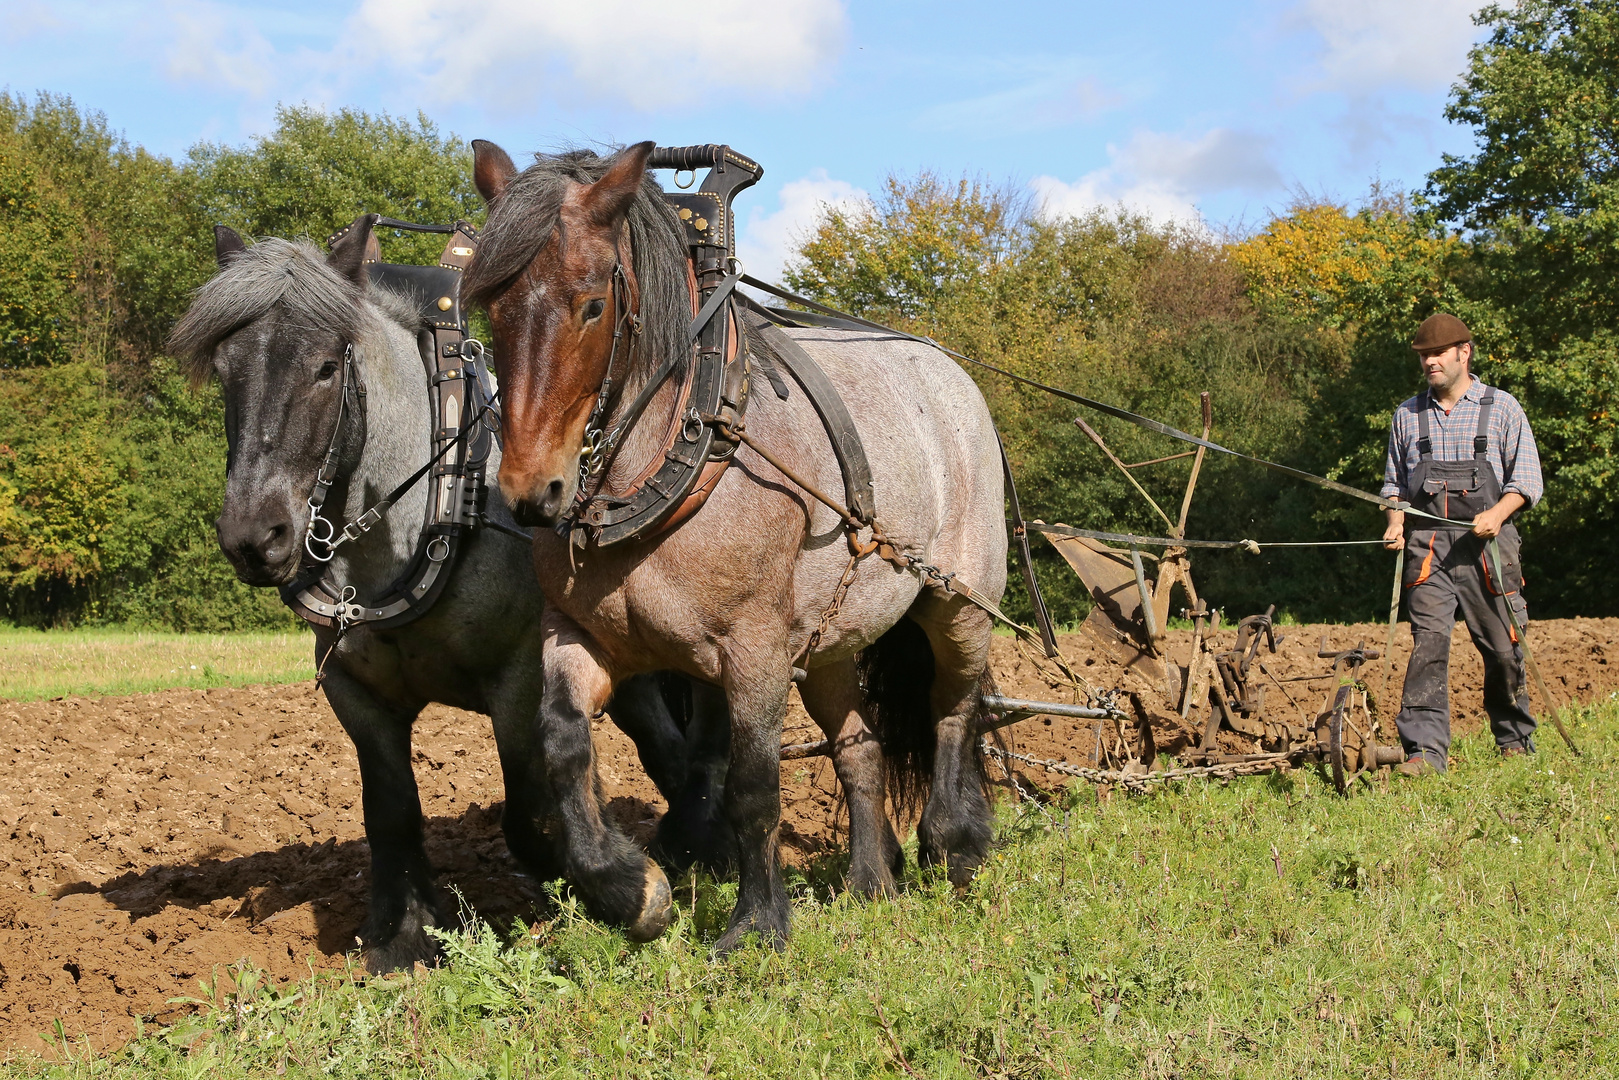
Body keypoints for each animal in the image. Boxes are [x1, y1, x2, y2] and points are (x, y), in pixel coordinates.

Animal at [169, 220, 735, 971]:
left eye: (325, 368)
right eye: (226, 370)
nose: (254, 537)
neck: (429, 515)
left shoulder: (520, 676)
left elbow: (527, 812)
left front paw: (612, 884)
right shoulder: (356, 692)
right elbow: (390, 810)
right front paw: (405, 933)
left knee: (689, 744)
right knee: (662, 744)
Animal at [463, 139, 1003, 952]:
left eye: (591, 305)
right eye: (489, 306)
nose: (533, 494)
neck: (676, 460)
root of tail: (950, 374)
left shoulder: (754, 652)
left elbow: (752, 783)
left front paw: (757, 923)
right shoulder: (579, 633)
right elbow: (560, 742)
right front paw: (628, 889)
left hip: (957, 603)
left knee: (952, 707)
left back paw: (954, 842)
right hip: (832, 640)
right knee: (861, 746)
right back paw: (869, 880)